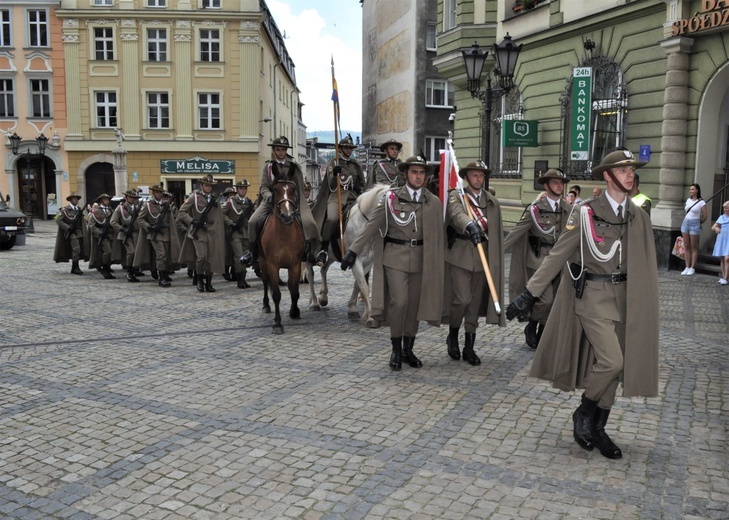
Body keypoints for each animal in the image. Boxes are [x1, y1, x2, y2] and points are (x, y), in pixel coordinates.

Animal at [258, 179, 304, 334]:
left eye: (292, 190)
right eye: (275, 190)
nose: (287, 215)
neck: (284, 234)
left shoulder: (295, 264)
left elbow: (294, 290)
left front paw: (294, 311)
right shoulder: (272, 265)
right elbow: (277, 295)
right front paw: (278, 324)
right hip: (263, 263)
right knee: (266, 283)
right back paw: (266, 305)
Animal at [306, 185, 390, 328]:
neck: (364, 225)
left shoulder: (367, 262)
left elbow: (358, 284)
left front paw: (353, 309)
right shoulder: (355, 261)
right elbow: (363, 287)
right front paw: (370, 317)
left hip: (332, 255)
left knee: (323, 269)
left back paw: (323, 297)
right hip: (308, 253)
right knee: (310, 273)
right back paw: (314, 302)